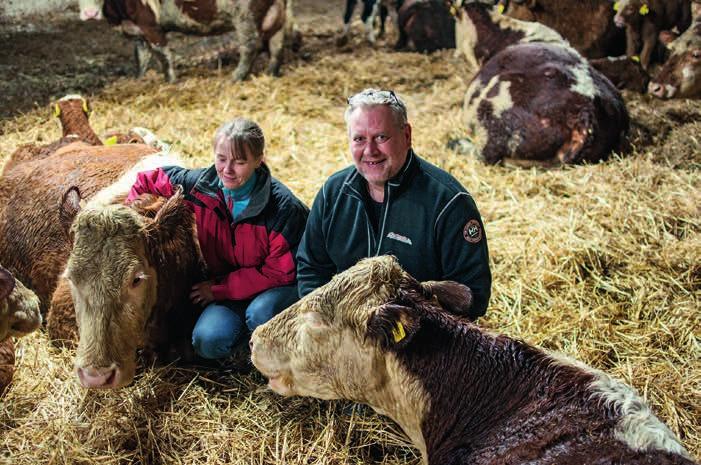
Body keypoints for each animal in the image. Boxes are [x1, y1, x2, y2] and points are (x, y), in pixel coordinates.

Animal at [78, 0, 294, 81]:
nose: (89, 14)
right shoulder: (138, 32)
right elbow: (141, 58)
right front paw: (138, 80)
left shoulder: (151, 26)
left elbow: (163, 55)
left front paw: (171, 81)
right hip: (276, 14)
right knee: (277, 46)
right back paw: (271, 74)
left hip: (245, 15)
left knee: (251, 46)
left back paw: (236, 77)